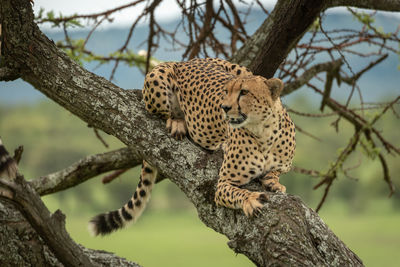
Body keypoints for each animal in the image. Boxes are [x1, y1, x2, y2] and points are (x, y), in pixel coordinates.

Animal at [90, 57, 294, 236]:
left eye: (244, 92)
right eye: (226, 91)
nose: (224, 107)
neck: (264, 131)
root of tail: (189, 60)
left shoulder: (283, 165)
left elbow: (277, 172)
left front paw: (274, 182)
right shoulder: (223, 184)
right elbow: (236, 191)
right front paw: (251, 200)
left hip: (241, 69)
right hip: (157, 77)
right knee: (161, 113)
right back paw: (177, 122)